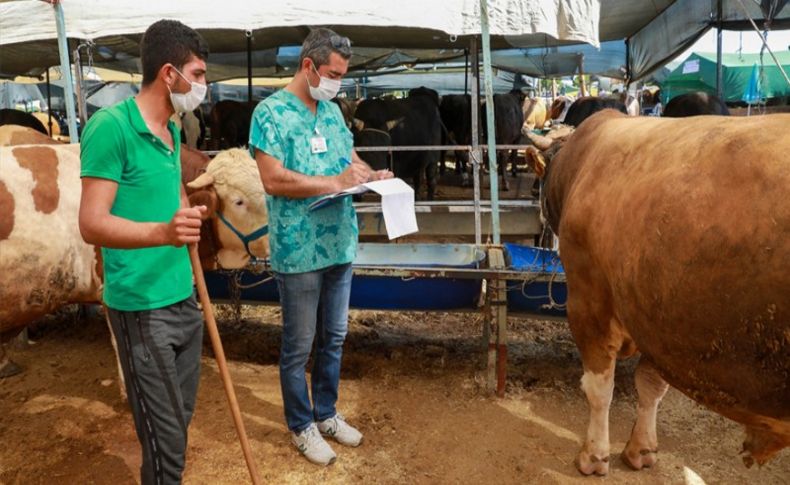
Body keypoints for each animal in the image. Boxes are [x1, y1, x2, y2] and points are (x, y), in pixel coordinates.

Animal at [524, 108, 790, 472]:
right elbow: (651, 386)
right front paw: (642, 448)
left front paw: (594, 455)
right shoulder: (658, 321)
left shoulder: (589, 304)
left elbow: (599, 389)